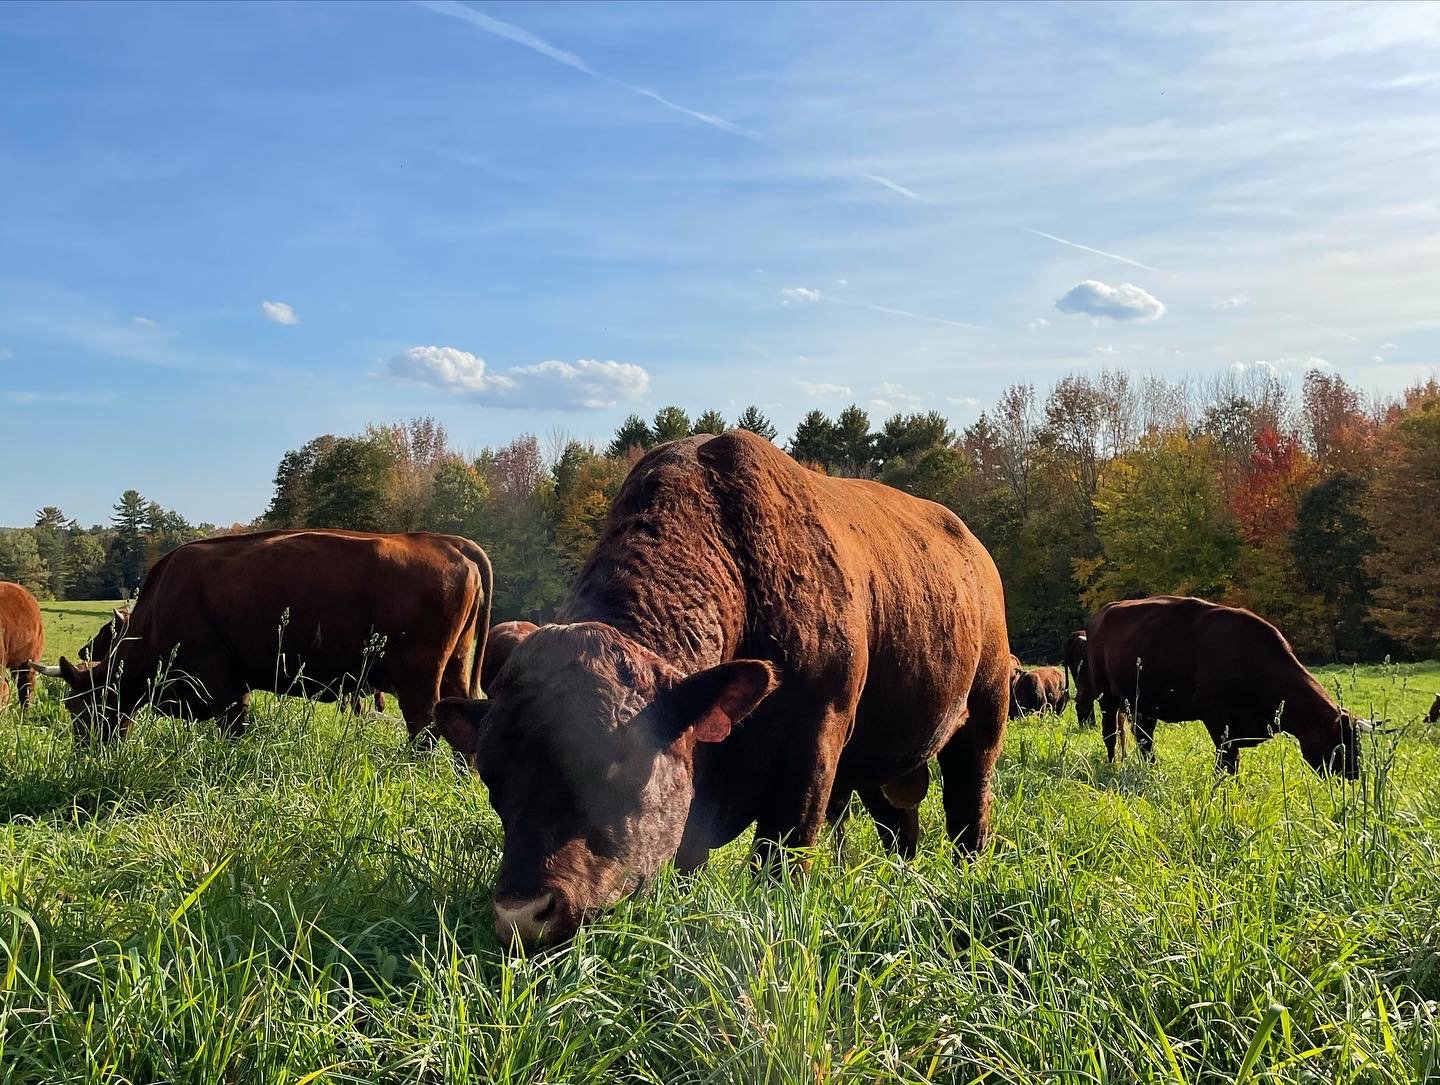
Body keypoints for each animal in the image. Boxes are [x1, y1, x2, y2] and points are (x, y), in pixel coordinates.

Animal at [47, 527, 492, 743]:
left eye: (79, 707)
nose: (85, 751)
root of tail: (450, 544)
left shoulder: (221, 682)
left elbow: (233, 728)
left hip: (418, 680)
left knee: (425, 732)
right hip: (455, 667)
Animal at [432, 426, 1008, 945]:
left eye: (616, 766)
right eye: (492, 778)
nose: (522, 914)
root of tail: (976, 550)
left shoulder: (812, 748)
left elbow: (781, 856)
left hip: (983, 719)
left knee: (969, 813)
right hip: (878, 765)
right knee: (900, 827)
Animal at [1082, 593, 1365, 778]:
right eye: (1341, 743)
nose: (1354, 775)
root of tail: (1102, 613)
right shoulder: (1217, 719)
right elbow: (1227, 761)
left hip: (1142, 704)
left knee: (1144, 738)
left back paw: (1152, 768)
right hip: (1106, 697)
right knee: (1110, 734)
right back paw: (1112, 765)